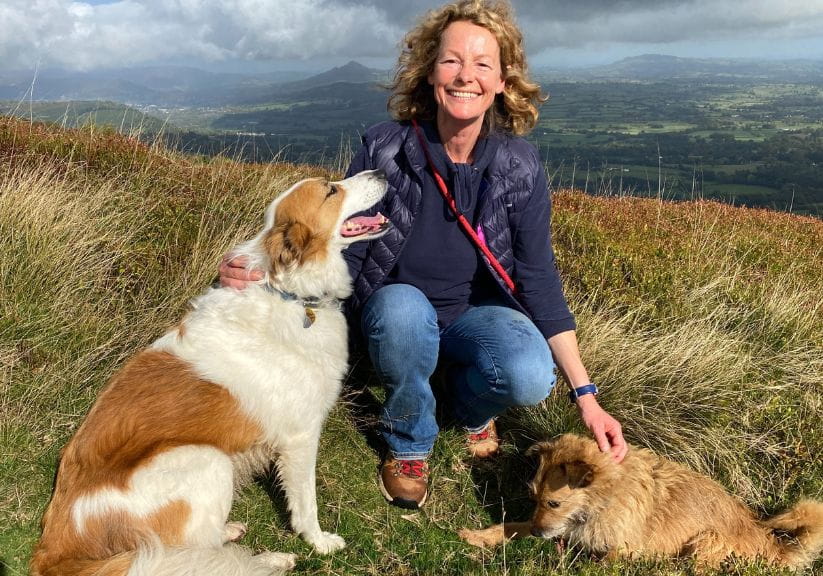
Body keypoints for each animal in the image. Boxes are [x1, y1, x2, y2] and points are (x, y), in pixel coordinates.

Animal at [30, 169, 392, 572]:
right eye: (331, 190)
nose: (380, 171)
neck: (289, 294)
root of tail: (56, 550)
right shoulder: (300, 438)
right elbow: (306, 504)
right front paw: (319, 542)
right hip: (208, 460)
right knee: (195, 553)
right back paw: (271, 559)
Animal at [460, 434, 823, 568]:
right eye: (534, 498)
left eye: (554, 504)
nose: (537, 534)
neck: (603, 500)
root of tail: (769, 543)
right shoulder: (562, 529)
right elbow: (509, 525)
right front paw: (478, 536)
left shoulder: (622, 551)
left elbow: (597, 564)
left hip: (705, 543)